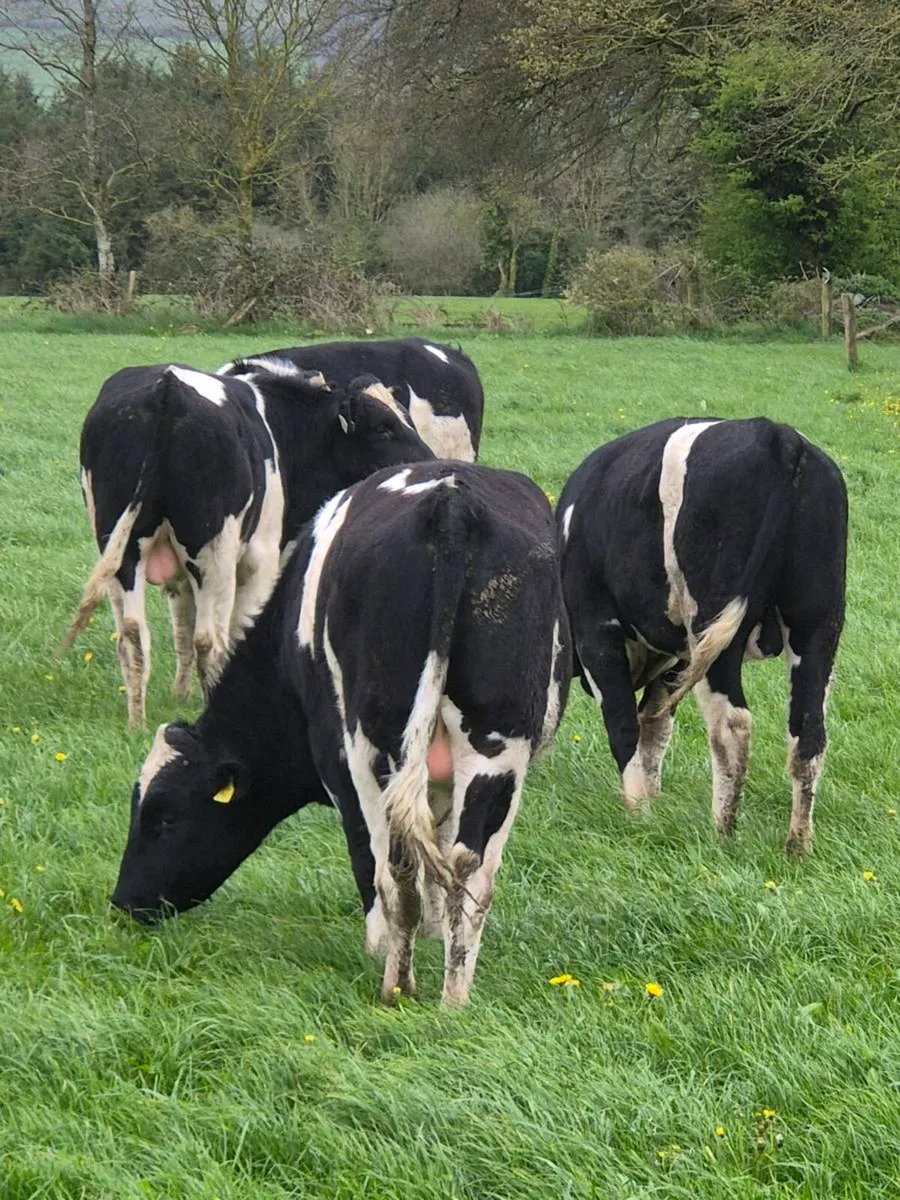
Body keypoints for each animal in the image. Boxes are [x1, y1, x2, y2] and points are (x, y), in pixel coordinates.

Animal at [61, 364, 434, 729]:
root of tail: (168, 389)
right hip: (216, 556)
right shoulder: (261, 560)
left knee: (133, 637)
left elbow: (181, 628)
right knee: (209, 642)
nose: (429, 462)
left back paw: (136, 723)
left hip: (121, 552)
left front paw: (180, 695)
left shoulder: (179, 576)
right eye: (383, 428)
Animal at [111, 461, 572, 1007]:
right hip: (497, 747)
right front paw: (433, 934)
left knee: (394, 869)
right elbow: (437, 849)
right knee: (467, 867)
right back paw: (453, 1000)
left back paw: (396, 987)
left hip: (373, 749)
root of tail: (450, 503)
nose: (123, 902)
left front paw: (381, 946)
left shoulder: (336, 763)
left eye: (165, 818)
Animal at [557, 417, 847, 855]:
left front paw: (639, 813)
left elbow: (624, 724)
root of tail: (777, 434)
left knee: (731, 726)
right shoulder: (678, 658)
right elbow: (655, 725)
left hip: (715, 627)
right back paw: (797, 846)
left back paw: (722, 833)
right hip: (817, 626)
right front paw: (654, 801)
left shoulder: (597, 632)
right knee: (808, 733)